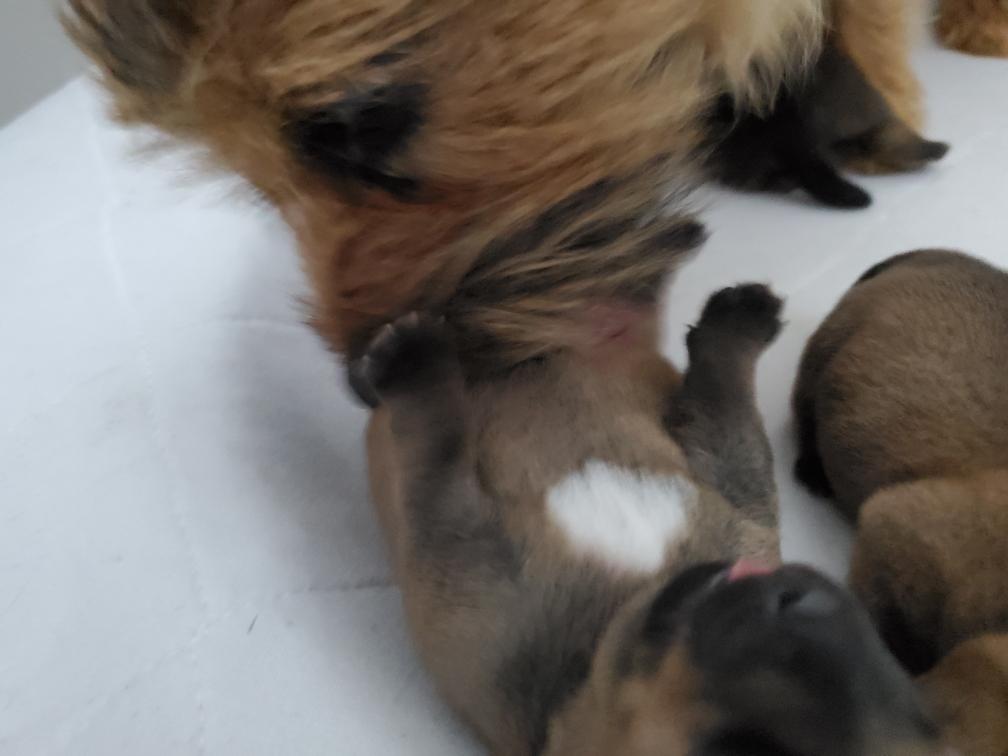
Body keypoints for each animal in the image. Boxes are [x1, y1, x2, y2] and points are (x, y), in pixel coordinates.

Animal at [352, 283, 943, 756]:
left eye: (739, 748)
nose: (799, 602)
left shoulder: (454, 542)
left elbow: (435, 441)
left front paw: (411, 361)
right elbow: (724, 399)